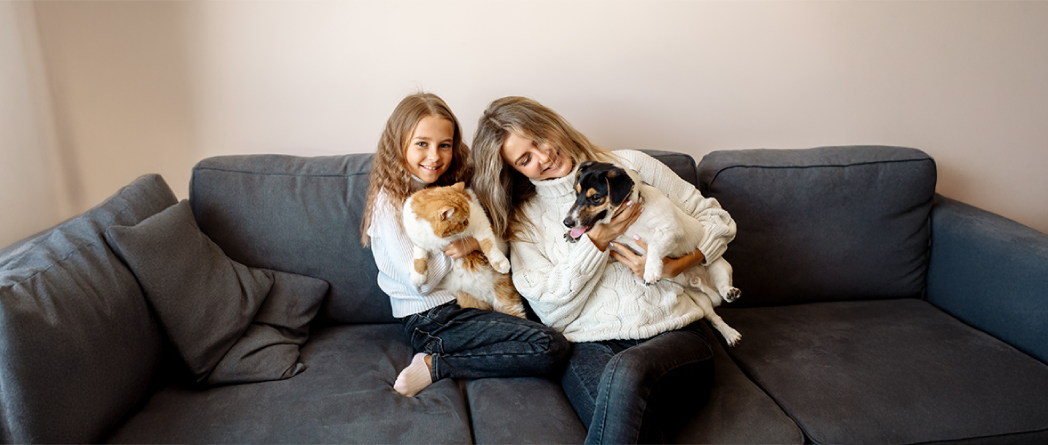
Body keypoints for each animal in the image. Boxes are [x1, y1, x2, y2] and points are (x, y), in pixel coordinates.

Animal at [404, 182, 528, 318]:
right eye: (462, 221)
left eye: (469, 216)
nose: (468, 222)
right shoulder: (418, 240)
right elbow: (419, 256)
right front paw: (418, 276)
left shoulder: (480, 221)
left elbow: (488, 243)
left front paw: (500, 263)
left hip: (508, 302)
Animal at [565, 161, 746, 345]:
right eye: (576, 193)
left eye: (595, 198)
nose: (567, 223)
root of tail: (698, 281)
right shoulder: (616, 243)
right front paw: (573, 236)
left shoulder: (670, 231)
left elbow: (653, 247)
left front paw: (651, 272)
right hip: (701, 301)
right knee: (714, 317)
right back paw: (727, 331)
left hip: (720, 266)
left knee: (723, 289)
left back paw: (730, 300)